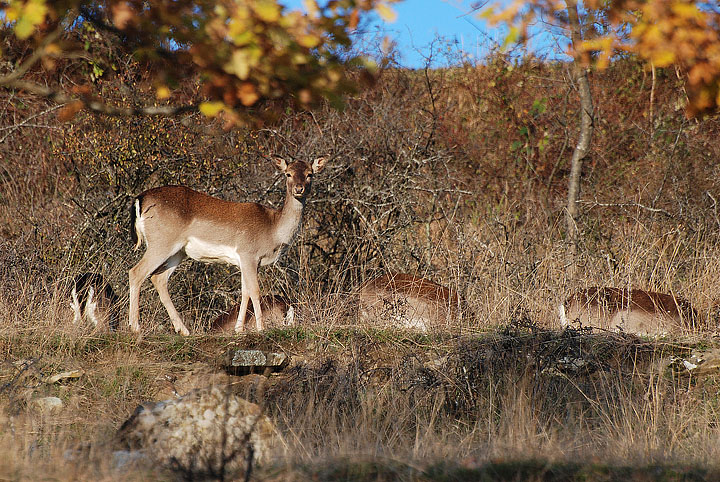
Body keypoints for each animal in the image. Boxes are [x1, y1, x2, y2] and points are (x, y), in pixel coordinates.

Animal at [130, 155, 330, 336]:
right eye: (288, 173)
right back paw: (135, 327)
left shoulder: (246, 261)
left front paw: (239, 329)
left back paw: (183, 330)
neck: (272, 229)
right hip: (161, 243)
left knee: (159, 278)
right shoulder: (248, 253)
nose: (299, 188)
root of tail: (140, 199)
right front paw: (261, 328)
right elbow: (255, 290)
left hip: (178, 252)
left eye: (310, 174)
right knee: (136, 272)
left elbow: (245, 291)